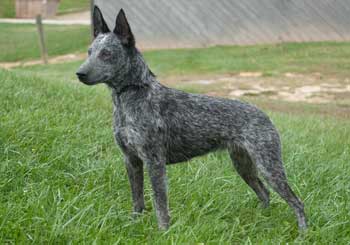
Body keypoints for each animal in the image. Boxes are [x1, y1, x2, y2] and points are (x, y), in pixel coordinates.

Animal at [76, 6, 306, 231]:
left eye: (107, 54)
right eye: (89, 52)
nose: (80, 73)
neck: (132, 96)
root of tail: (264, 114)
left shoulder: (154, 162)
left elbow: (160, 205)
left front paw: (164, 233)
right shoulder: (131, 161)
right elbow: (137, 201)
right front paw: (134, 225)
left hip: (269, 167)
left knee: (297, 202)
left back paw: (302, 232)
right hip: (244, 165)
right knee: (264, 193)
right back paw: (261, 220)